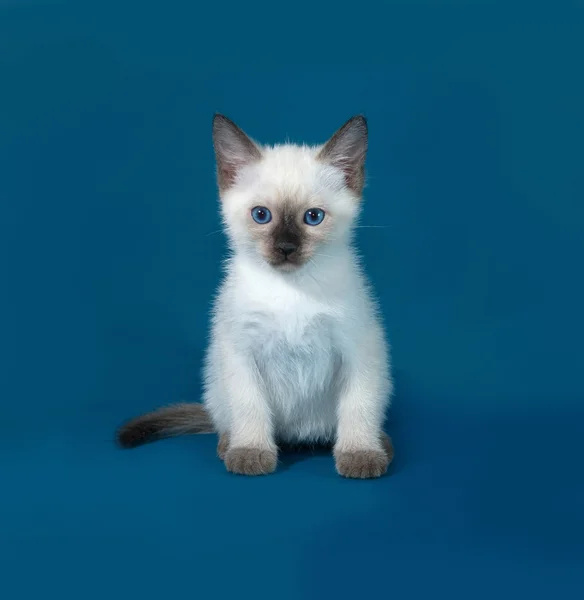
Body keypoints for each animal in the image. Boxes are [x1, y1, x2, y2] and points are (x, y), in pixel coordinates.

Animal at [116, 113, 394, 478]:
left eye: (313, 217)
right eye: (261, 215)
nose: (286, 248)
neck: (292, 289)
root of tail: (297, 436)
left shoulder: (357, 351)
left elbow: (357, 407)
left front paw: (360, 454)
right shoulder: (242, 351)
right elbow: (250, 406)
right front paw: (250, 453)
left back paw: (382, 445)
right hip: (217, 382)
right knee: (227, 419)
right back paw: (228, 445)